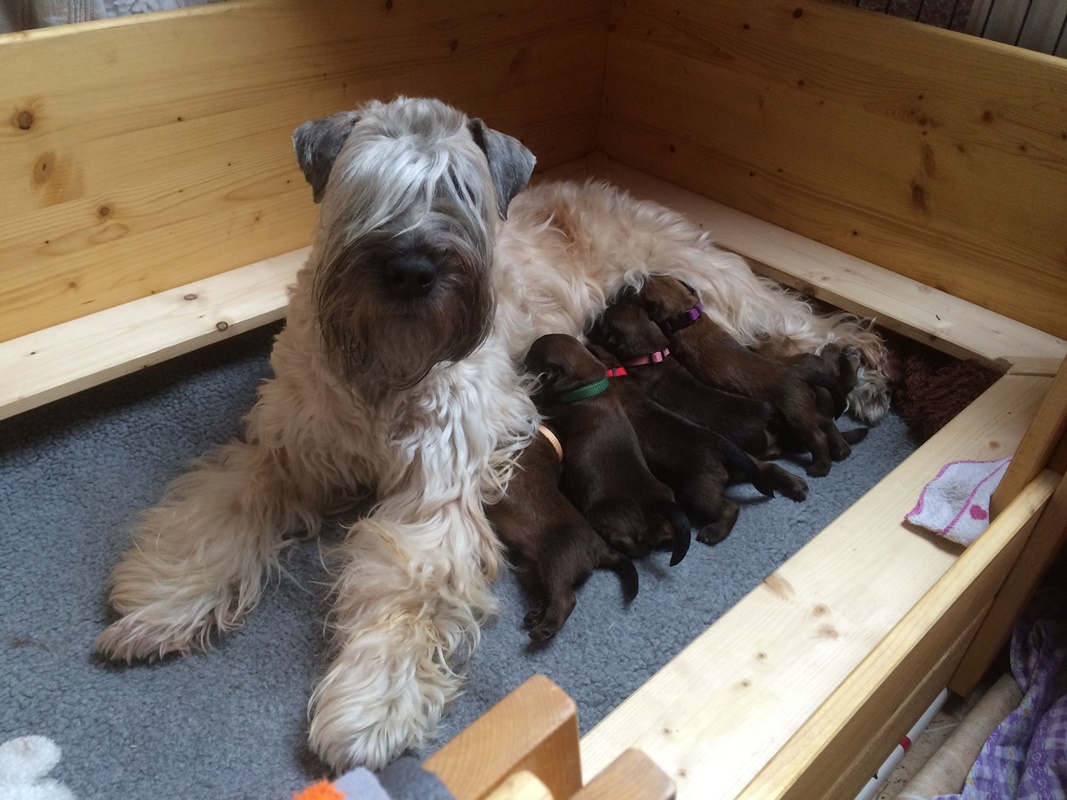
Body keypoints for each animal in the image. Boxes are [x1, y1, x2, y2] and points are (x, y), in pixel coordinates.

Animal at [486, 428, 640, 644]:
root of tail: (599, 546)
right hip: (529, 565)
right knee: (546, 593)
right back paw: (538, 611)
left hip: (556, 561)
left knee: (565, 599)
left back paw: (545, 628)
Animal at [588, 341, 802, 550]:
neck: (614, 372)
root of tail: (722, 450)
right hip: (747, 461)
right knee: (770, 468)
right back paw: (797, 485)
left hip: (695, 491)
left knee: (729, 508)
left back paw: (713, 533)